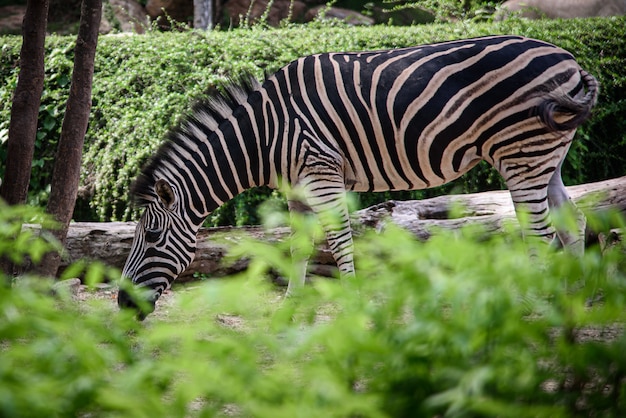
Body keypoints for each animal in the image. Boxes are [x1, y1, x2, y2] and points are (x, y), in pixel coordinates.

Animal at [116, 35, 596, 316]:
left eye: (152, 238)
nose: (121, 304)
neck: (264, 135)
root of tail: (568, 58)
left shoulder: (322, 174)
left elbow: (339, 240)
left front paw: (351, 301)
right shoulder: (297, 189)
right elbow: (298, 246)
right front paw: (290, 304)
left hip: (521, 152)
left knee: (540, 233)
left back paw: (531, 302)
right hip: (544, 156)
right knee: (573, 221)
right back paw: (572, 297)